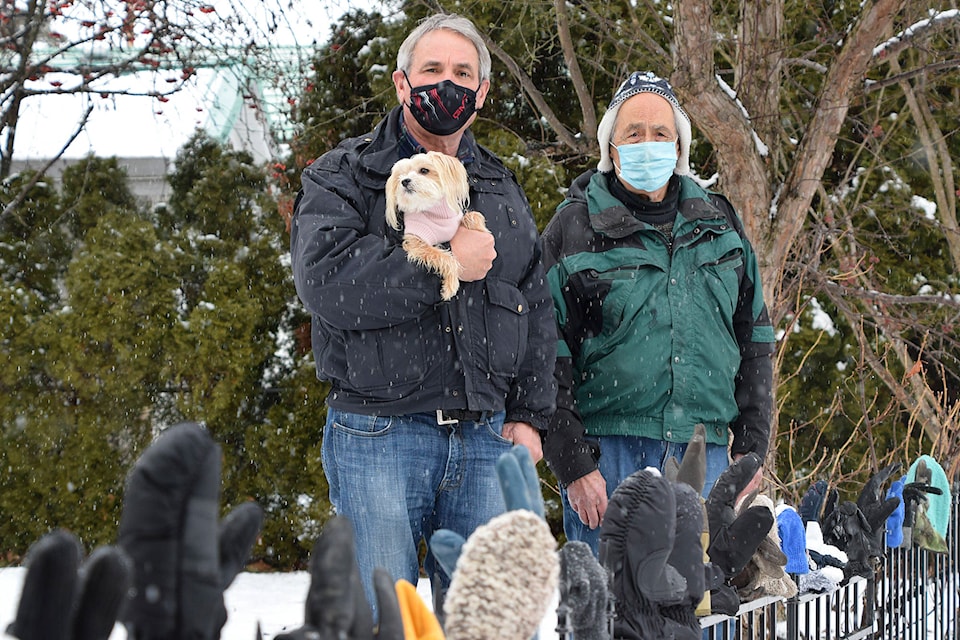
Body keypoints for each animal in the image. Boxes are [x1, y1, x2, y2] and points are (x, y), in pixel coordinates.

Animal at [384, 151, 488, 300]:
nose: (404, 181)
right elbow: (446, 258)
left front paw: (477, 224)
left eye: (424, 170)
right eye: (400, 176)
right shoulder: (416, 241)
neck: (434, 211)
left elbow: (474, 216)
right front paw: (450, 286)